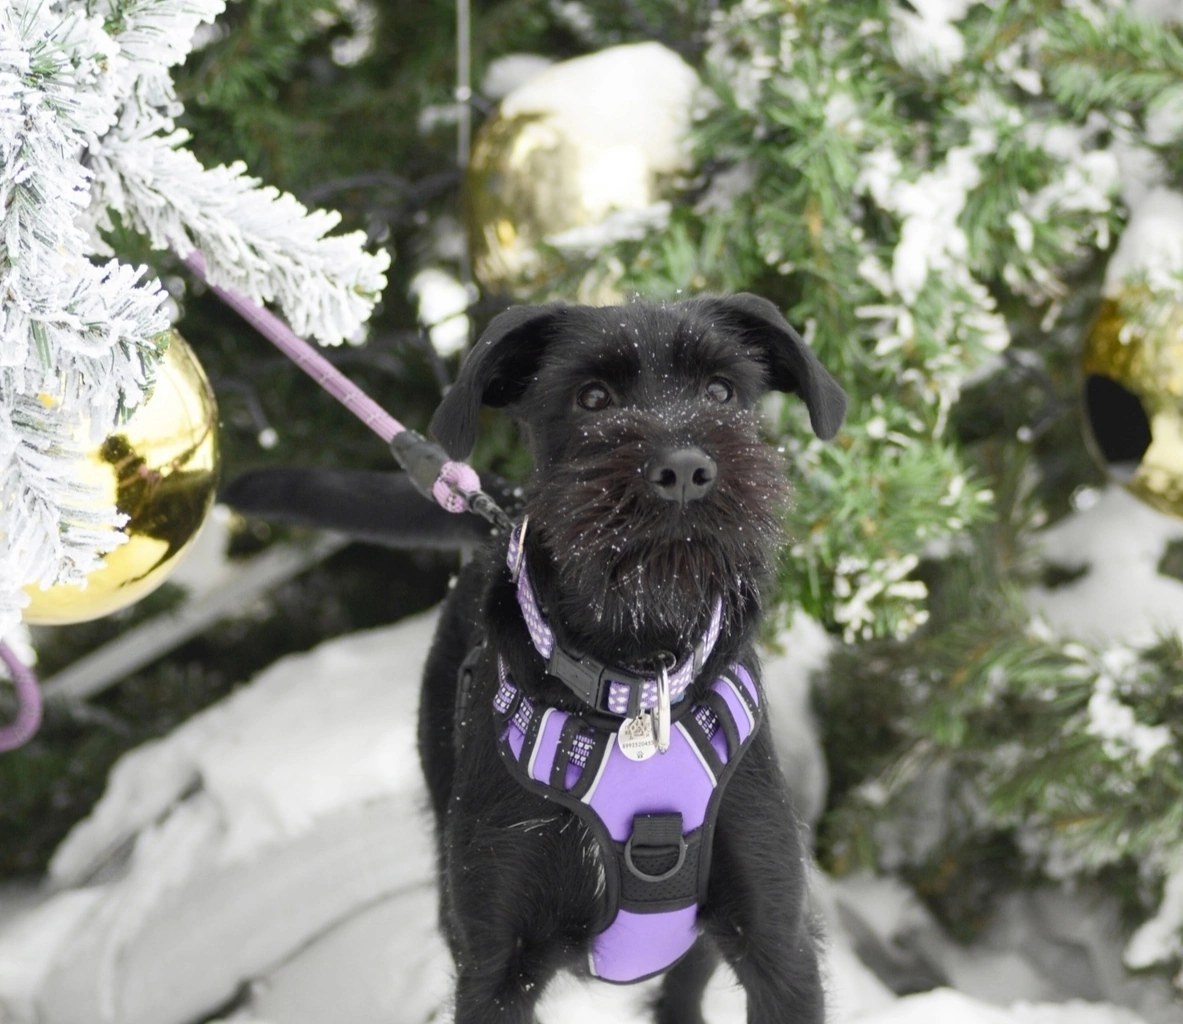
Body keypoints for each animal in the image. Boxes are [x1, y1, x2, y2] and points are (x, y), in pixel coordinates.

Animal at [416, 293, 847, 1023]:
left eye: (720, 390)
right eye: (592, 398)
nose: (684, 470)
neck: (639, 676)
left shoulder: (777, 941)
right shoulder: (494, 969)